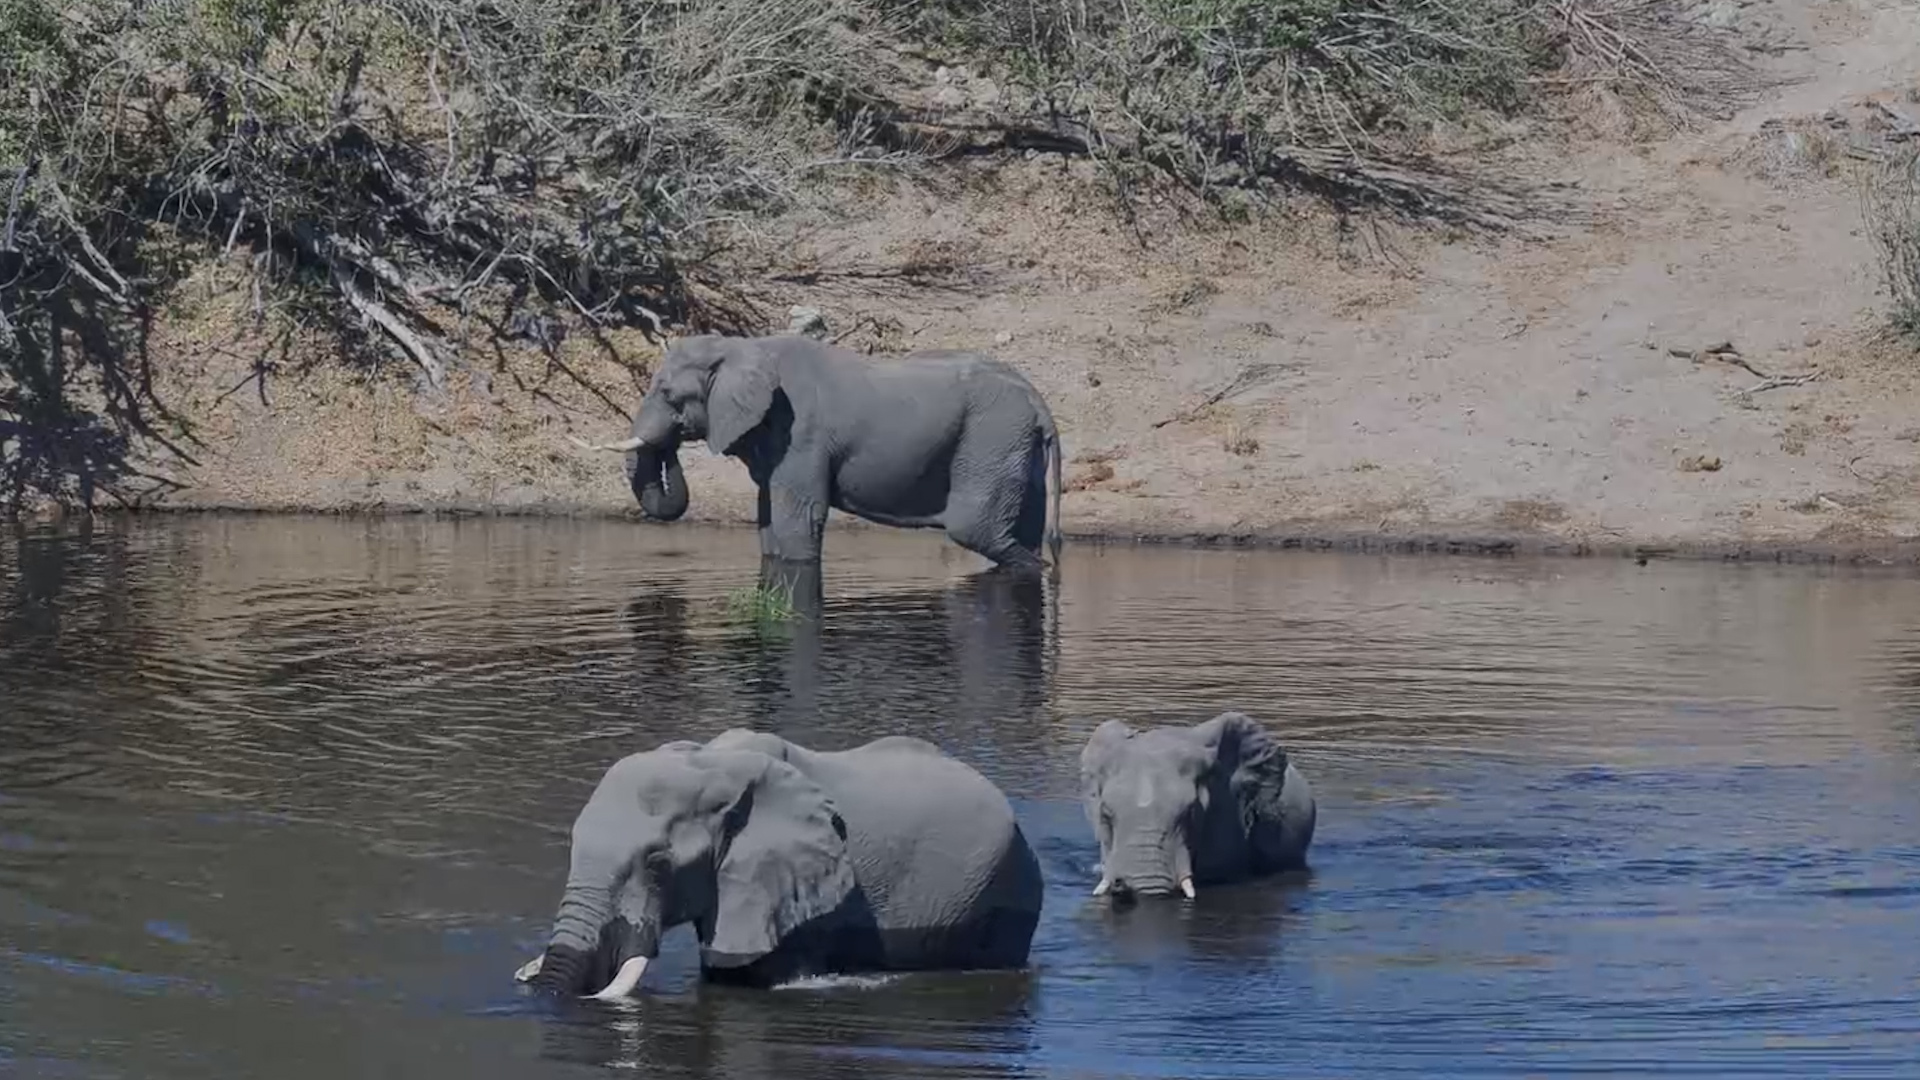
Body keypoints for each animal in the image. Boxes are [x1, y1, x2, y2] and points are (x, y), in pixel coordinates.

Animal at [571, 334, 1064, 570]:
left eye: (671, 395)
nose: (671, 442)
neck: (744, 346)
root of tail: (1039, 399)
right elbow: (768, 521)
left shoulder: (800, 431)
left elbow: (798, 519)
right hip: (1014, 445)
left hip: (991, 436)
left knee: (974, 529)